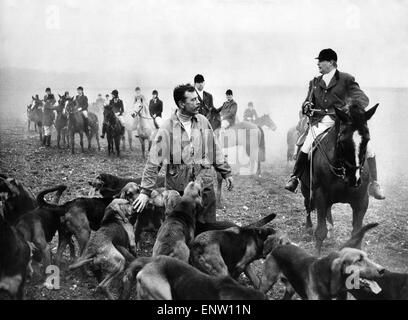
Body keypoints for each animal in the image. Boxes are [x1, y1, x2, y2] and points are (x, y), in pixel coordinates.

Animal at [300, 104, 380, 254]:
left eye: (367, 140)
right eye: (342, 142)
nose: (354, 179)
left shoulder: (362, 200)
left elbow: (357, 233)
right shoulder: (320, 194)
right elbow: (320, 231)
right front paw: (316, 255)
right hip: (306, 188)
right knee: (308, 204)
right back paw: (309, 226)